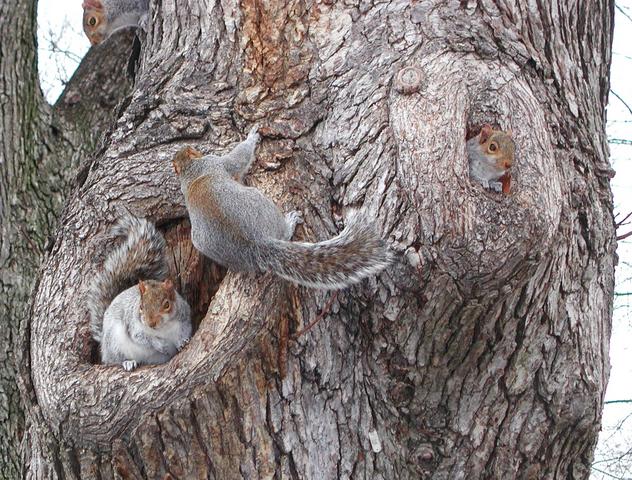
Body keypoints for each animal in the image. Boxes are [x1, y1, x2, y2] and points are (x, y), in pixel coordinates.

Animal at [86, 217, 191, 372]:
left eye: (167, 305)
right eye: (141, 306)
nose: (151, 323)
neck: (162, 328)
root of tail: (103, 339)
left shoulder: (184, 318)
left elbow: (185, 331)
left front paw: (182, 342)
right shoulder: (134, 325)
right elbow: (141, 337)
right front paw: (161, 345)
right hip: (114, 341)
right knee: (113, 360)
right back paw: (128, 362)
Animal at [170, 125, 392, 288]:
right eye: (195, 151)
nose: (185, 149)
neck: (190, 171)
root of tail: (257, 243)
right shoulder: (216, 162)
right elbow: (239, 159)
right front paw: (252, 137)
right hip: (262, 202)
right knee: (283, 233)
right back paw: (290, 222)